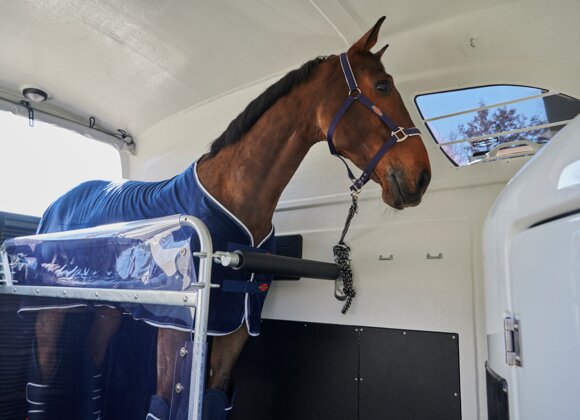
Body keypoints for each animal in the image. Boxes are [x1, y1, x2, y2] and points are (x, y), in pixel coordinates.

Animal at [22, 16, 430, 420]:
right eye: (382, 86)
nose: (421, 177)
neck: (234, 198)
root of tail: (59, 202)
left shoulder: (237, 323)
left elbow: (215, 398)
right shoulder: (176, 324)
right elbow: (164, 403)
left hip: (106, 309)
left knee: (92, 363)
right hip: (49, 311)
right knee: (43, 380)